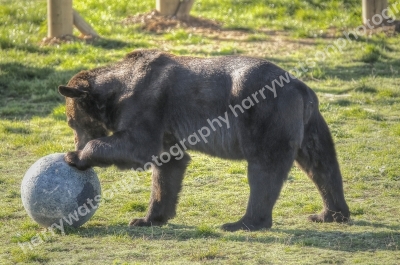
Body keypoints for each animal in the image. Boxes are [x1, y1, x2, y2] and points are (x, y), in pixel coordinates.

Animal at [58, 49, 350, 231]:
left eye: (71, 121)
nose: (76, 143)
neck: (115, 93)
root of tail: (301, 87)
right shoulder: (167, 128)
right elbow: (168, 166)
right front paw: (147, 218)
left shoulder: (146, 105)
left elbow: (137, 146)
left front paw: (75, 157)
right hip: (309, 122)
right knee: (321, 163)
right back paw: (330, 213)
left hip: (266, 114)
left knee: (265, 168)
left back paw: (243, 222)